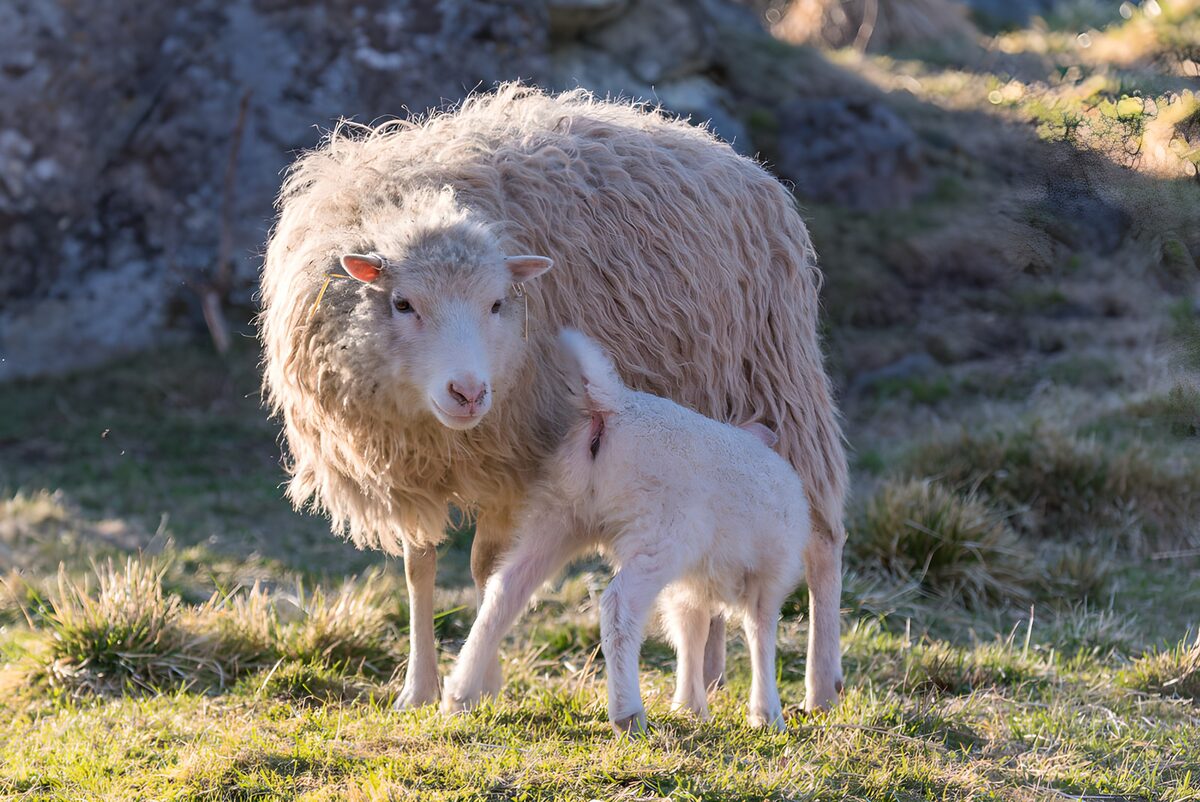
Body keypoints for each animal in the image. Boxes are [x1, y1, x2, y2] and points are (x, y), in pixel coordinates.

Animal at [443, 330, 812, 734]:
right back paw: (628, 713)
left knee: (505, 590)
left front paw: (690, 706)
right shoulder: (770, 573)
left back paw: (460, 693)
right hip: (658, 533)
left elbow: (691, 632)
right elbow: (760, 633)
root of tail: (614, 407)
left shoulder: (690, 586)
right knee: (619, 607)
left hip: (559, 515)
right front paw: (767, 713)